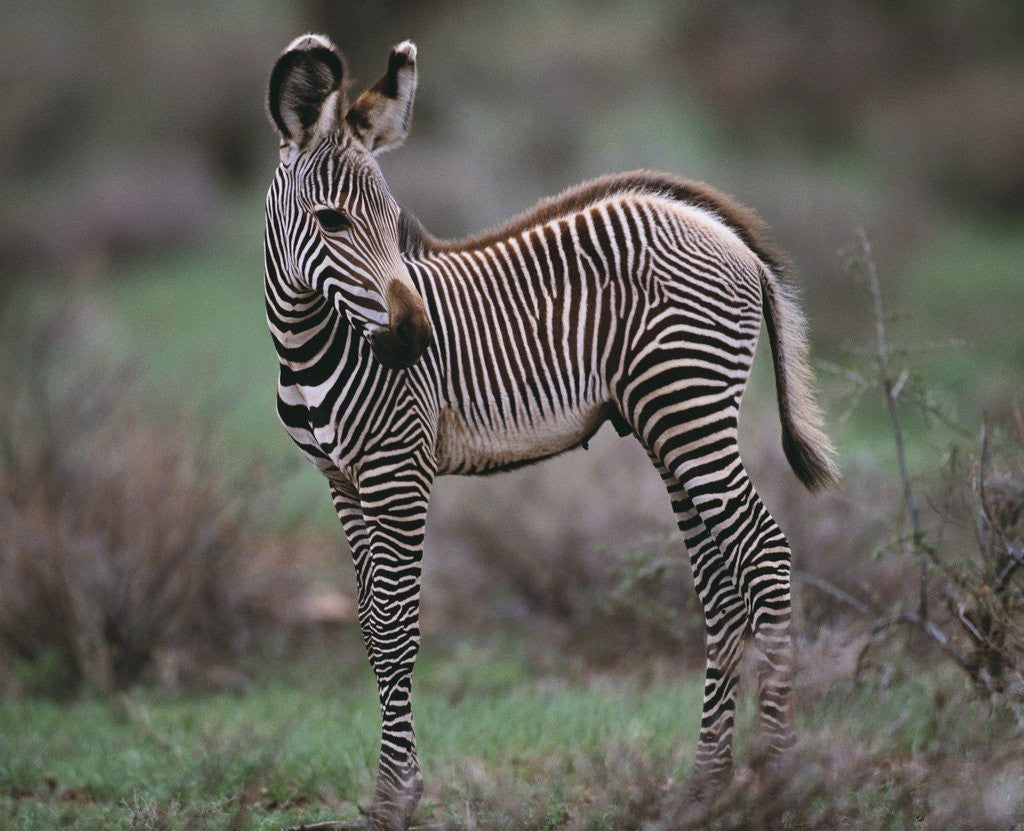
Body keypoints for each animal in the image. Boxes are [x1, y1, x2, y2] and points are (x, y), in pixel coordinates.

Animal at [266, 34, 839, 831]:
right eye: (331, 220)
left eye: (392, 217)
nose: (416, 341)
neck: (309, 343)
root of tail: (724, 230)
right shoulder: (343, 482)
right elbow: (372, 626)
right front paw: (389, 792)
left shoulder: (396, 472)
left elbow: (398, 624)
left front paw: (396, 797)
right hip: (669, 423)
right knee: (721, 586)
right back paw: (706, 784)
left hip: (690, 410)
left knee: (765, 554)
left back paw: (777, 778)